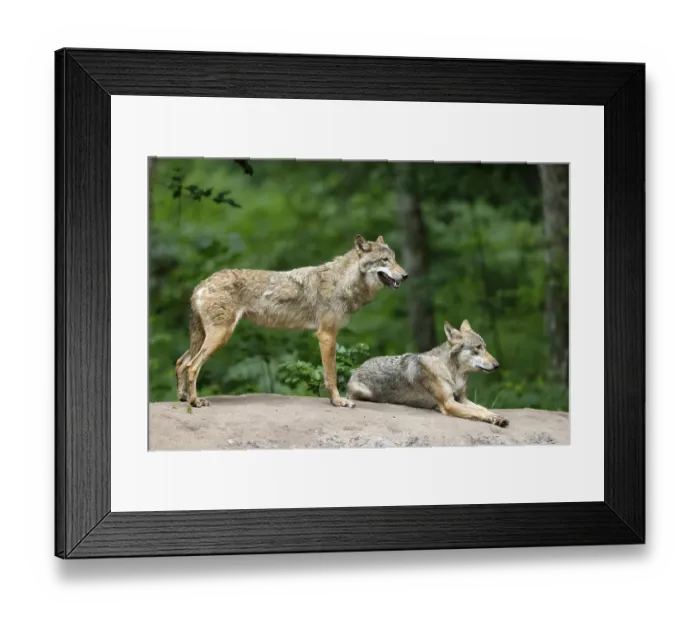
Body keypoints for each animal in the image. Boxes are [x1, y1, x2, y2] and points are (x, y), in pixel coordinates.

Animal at [175, 234, 408, 408]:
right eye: (385, 260)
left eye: (394, 258)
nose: (406, 276)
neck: (343, 283)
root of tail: (202, 284)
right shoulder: (326, 334)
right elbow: (331, 375)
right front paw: (338, 401)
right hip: (219, 336)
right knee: (192, 366)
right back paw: (195, 401)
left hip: (204, 337)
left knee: (181, 362)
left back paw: (183, 398)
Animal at [347, 319, 508, 427]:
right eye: (478, 348)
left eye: (485, 347)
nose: (497, 365)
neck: (452, 373)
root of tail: (358, 368)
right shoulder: (449, 403)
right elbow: (479, 412)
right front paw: (495, 418)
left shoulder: (462, 399)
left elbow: (482, 408)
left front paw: (496, 416)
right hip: (363, 393)